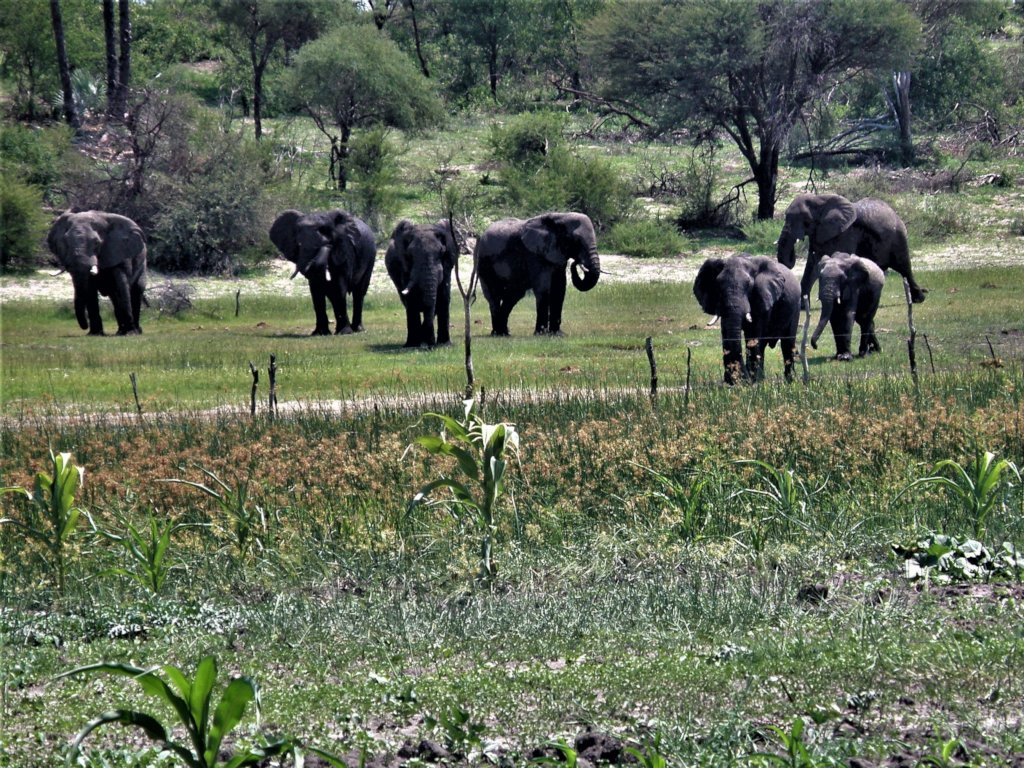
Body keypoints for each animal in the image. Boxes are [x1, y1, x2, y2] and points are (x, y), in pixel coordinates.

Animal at [382, 218, 458, 348]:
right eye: (410, 255)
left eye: (442, 252)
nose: (430, 345)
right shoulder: (404, 266)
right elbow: (411, 298)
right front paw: (414, 345)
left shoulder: (448, 264)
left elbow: (443, 296)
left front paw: (444, 345)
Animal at [692, 252, 802, 385]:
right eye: (718, 285)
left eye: (749, 285)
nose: (742, 379)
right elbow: (726, 332)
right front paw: (732, 381)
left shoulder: (762, 297)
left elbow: (753, 332)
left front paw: (749, 381)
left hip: (796, 307)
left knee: (787, 342)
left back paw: (789, 381)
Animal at [774, 193, 929, 305]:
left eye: (806, 221)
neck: (820, 199)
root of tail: (895, 213)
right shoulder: (821, 233)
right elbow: (813, 263)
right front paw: (801, 307)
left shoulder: (845, 233)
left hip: (898, 237)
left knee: (904, 267)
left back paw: (919, 299)